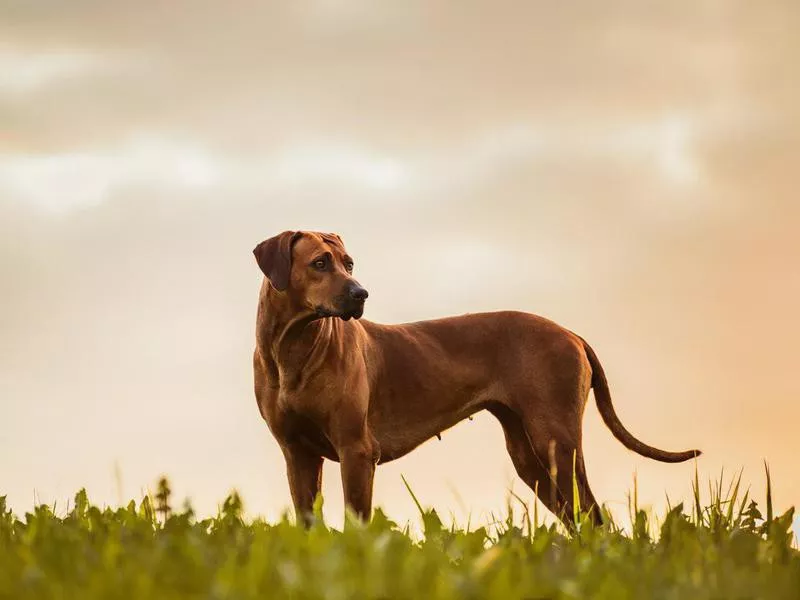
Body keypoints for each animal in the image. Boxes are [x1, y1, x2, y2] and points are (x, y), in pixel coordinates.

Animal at [252, 232, 700, 528]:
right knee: (575, 517)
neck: (293, 348)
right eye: (320, 263)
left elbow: (355, 524)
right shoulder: (297, 454)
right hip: (529, 455)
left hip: (556, 443)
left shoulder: (357, 451)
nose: (360, 293)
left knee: (592, 515)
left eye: (349, 263)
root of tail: (571, 333)